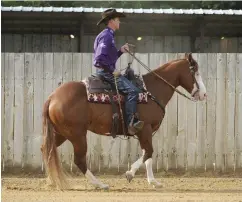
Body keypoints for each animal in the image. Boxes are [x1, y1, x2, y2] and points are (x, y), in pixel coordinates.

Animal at [41, 52, 206, 189]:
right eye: (196, 72)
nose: (204, 94)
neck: (151, 90)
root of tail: (53, 97)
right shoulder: (144, 128)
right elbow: (149, 152)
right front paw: (130, 173)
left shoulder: (146, 132)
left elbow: (148, 155)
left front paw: (153, 181)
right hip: (77, 135)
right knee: (79, 160)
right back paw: (99, 184)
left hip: (61, 133)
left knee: (47, 150)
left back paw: (51, 181)